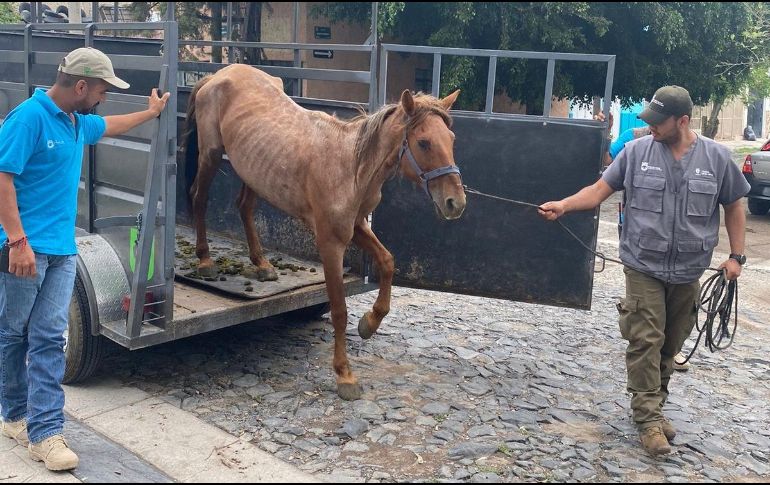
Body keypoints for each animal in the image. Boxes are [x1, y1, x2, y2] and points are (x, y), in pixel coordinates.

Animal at [183, 63, 466, 400]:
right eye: (423, 143)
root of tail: (217, 75)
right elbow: (339, 310)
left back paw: (262, 264)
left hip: (253, 172)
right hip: (211, 154)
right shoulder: (331, 243)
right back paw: (205, 261)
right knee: (199, 197)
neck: (350, 167)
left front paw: (370, 323)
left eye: (451, 138)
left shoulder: (356, 227)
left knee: (244, 207)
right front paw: (344, 375)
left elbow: (387, 262)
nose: (455, 202)